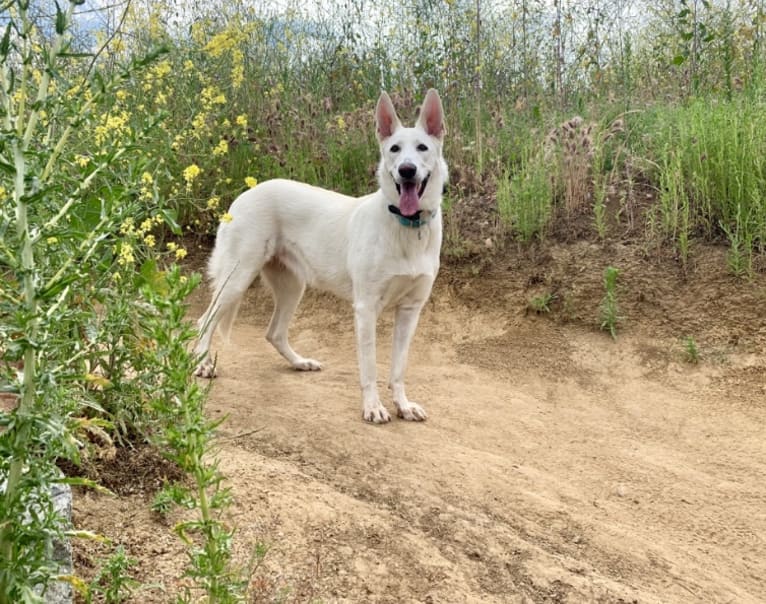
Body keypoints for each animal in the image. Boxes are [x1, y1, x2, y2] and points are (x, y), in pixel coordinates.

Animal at [195, 89, 450, 422]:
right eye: (394, 149)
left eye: (422, 148)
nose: (407, 170)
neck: (406, 226)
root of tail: (246, 193)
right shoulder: (366, 309)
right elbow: (369, 368)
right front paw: (373, 407)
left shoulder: (410, 311)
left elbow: (398, 368)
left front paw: (403, 405)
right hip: (237, 278)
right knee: (205, 320)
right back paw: (202, 364)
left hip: (293, 287)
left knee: (274, 333)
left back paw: (299, 362)